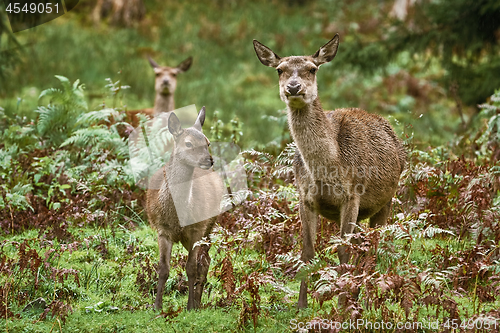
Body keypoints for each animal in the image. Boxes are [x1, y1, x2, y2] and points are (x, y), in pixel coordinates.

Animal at [146, 105, 226, 308]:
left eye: (207, 142)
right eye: (188, 144)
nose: (209, 160)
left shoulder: (197, 228)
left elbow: (191, 267)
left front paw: (189, 306)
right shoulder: (162, 230)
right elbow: (163, 268)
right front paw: (156, 306)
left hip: (210, 224)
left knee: (204, 262)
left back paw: (197, 302)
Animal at [254, 34, 406, 308]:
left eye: (312, 69)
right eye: (279, 70)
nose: (293, 87)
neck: (328, 170)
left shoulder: (352, 195)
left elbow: (343, 250)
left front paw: (343, 304)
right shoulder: (304, 198)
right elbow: (307, 252)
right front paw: (301, 305)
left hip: (386, 200)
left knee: (373, 245)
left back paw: (364, 299)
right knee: (362, 244)